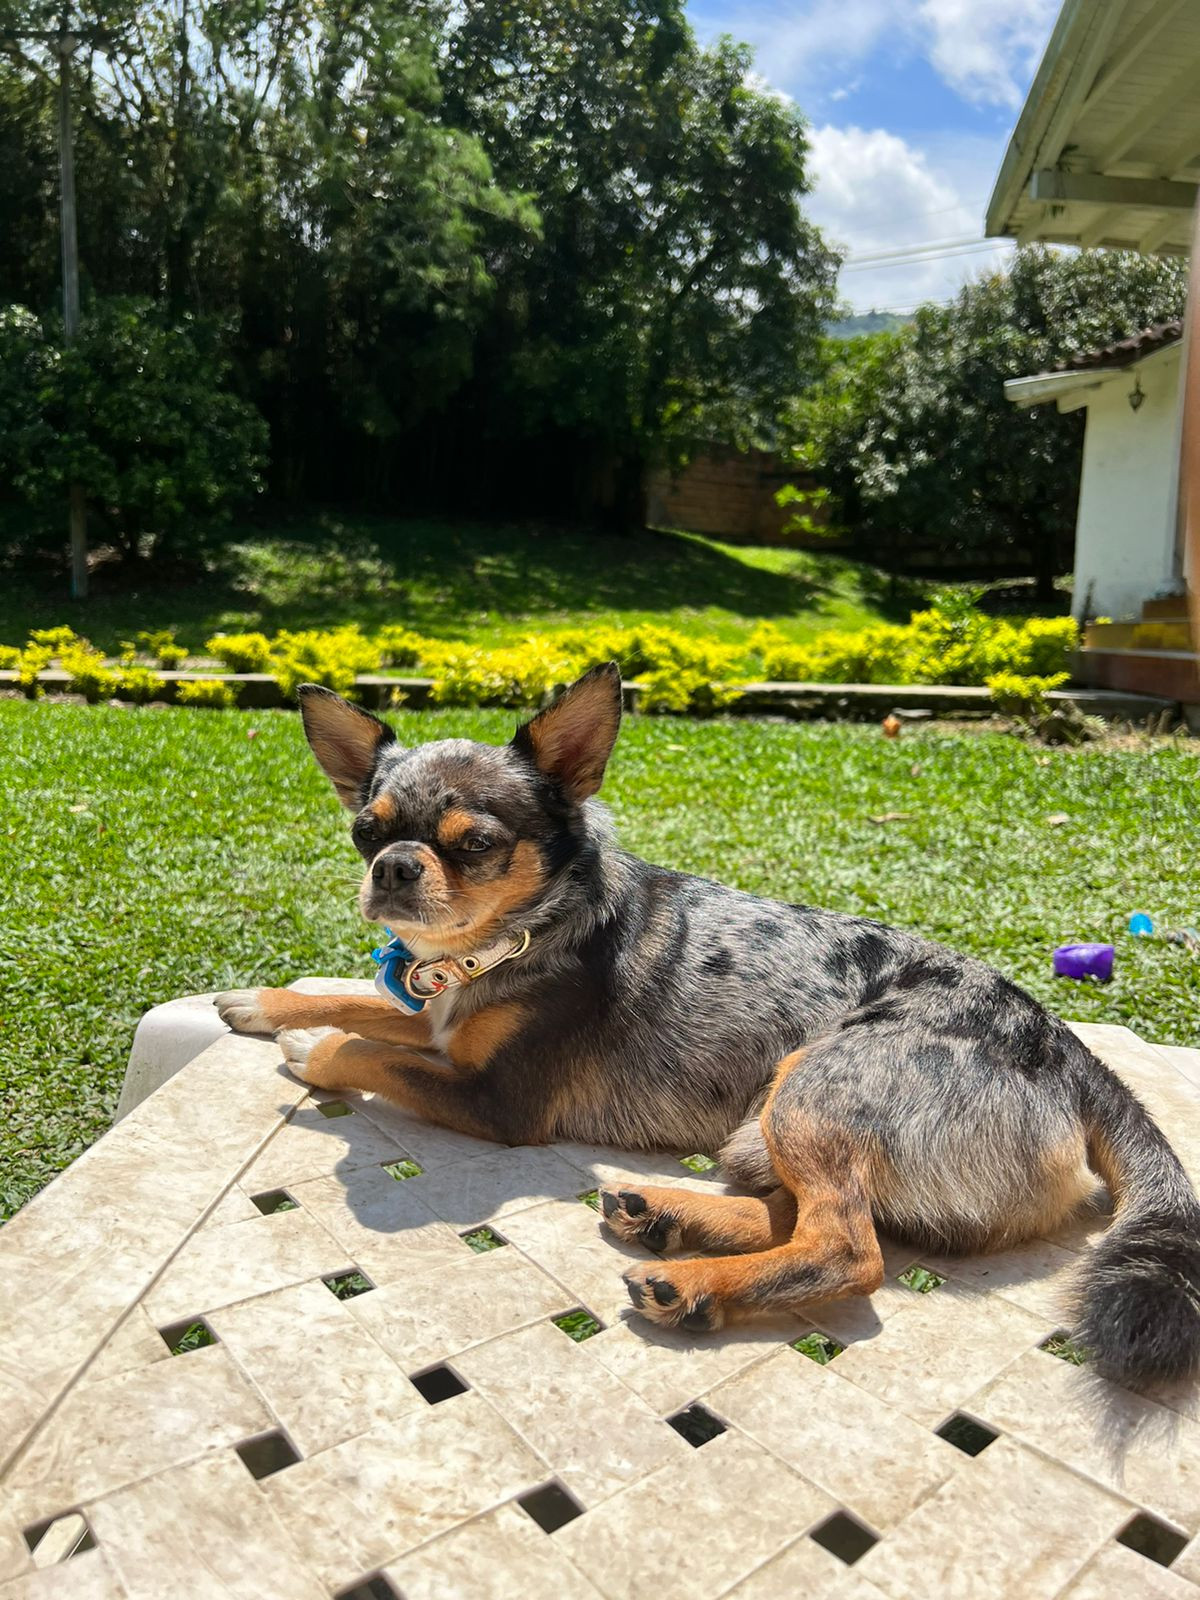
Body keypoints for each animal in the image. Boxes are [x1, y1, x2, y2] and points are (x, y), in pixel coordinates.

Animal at [216, 663, 1200, 1386]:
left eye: (477, 844)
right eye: (364, 830)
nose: (391, 867)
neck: (496, 948)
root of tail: (1068, 1049)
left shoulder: (496, 1100)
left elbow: (361, 1043)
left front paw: (308, 1048)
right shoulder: (439, 1025)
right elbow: (353, 998)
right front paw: (262, 1003)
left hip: (813, 1086)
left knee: (849, 1248)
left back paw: (691, 1283)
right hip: (768, 1120)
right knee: (800, 1215)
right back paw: (665, 1214)